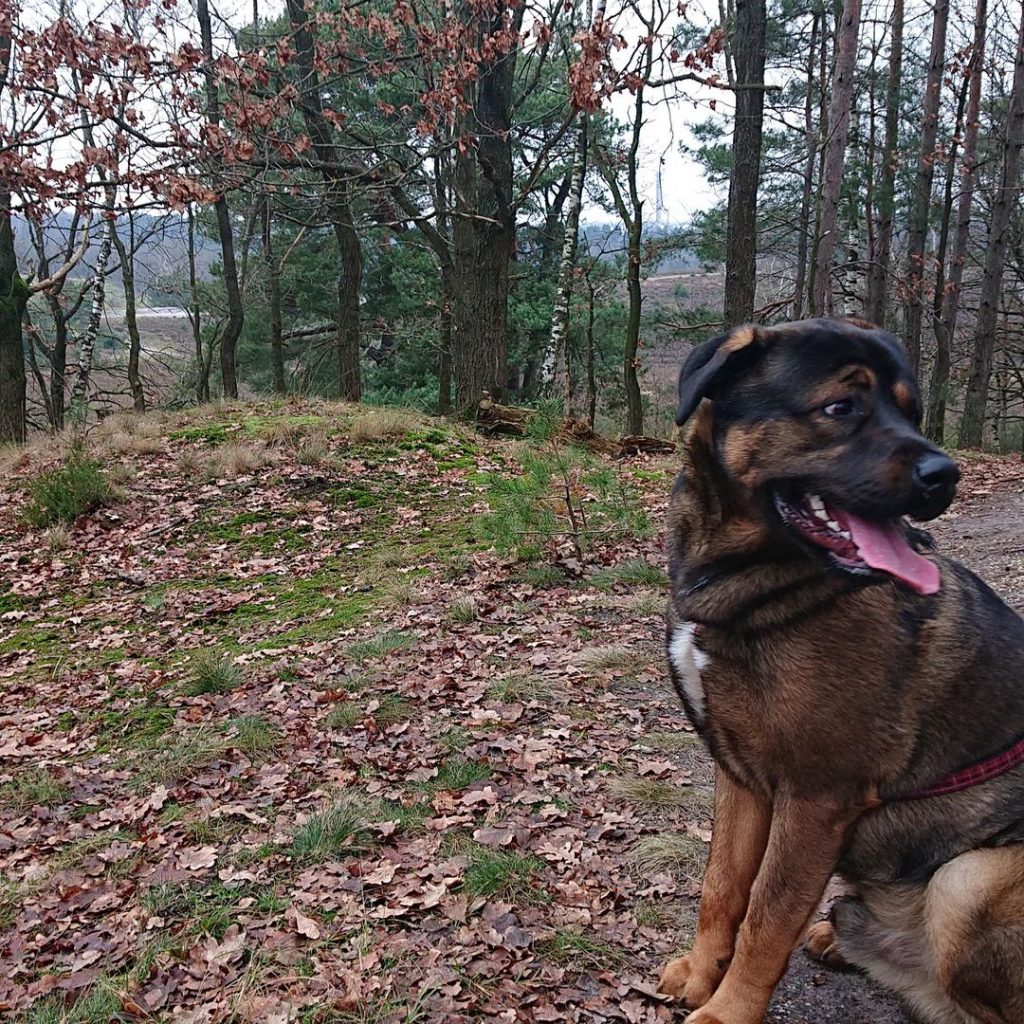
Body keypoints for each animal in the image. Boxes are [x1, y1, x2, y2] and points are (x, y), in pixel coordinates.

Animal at [655, 315, 1024, 1019]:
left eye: (912, 412)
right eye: (840, 408)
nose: (947, 475)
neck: (747, 582)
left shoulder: (816, 797)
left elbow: (768, 917)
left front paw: (727, 1010)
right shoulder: (742, 777)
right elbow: (723, 886)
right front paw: (700, 974)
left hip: (967, 879)